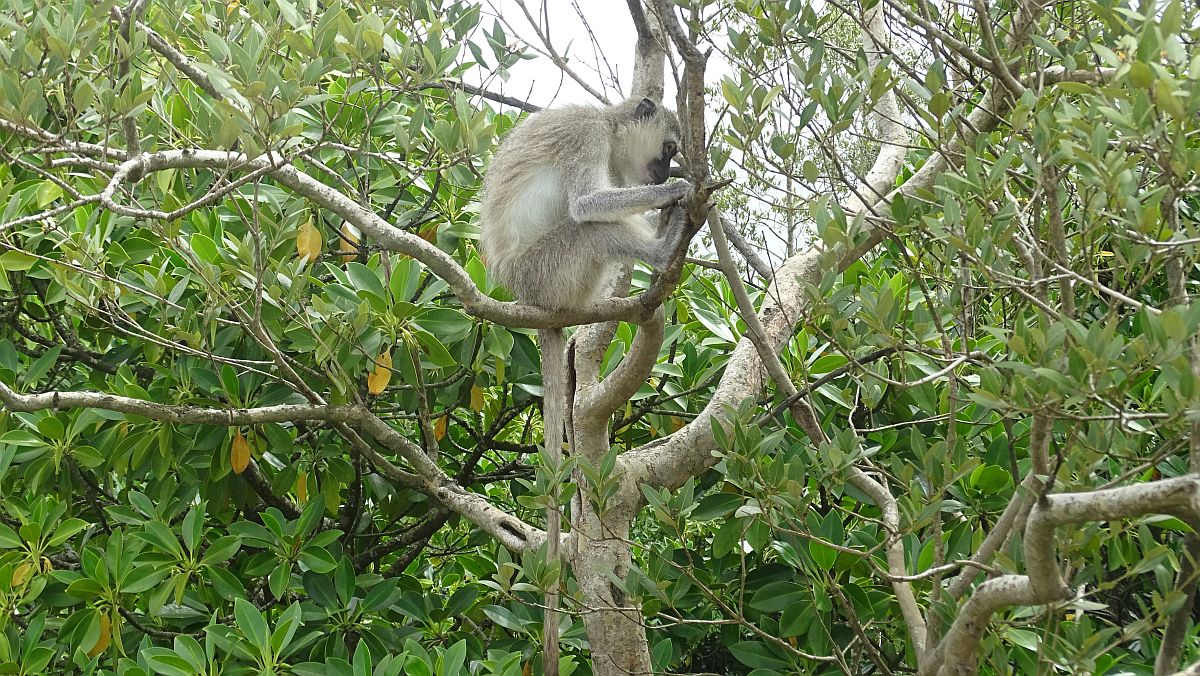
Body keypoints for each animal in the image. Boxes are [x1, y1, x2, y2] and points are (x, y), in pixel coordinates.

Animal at [480, 96, 696, 676]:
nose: (664, 171)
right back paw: (664, 248)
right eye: (668, 149)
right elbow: (587, 203)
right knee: (592, 228)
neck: (608, 120)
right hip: (549, 270)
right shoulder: (587, 138)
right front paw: (679, 193)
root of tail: (530, 301)